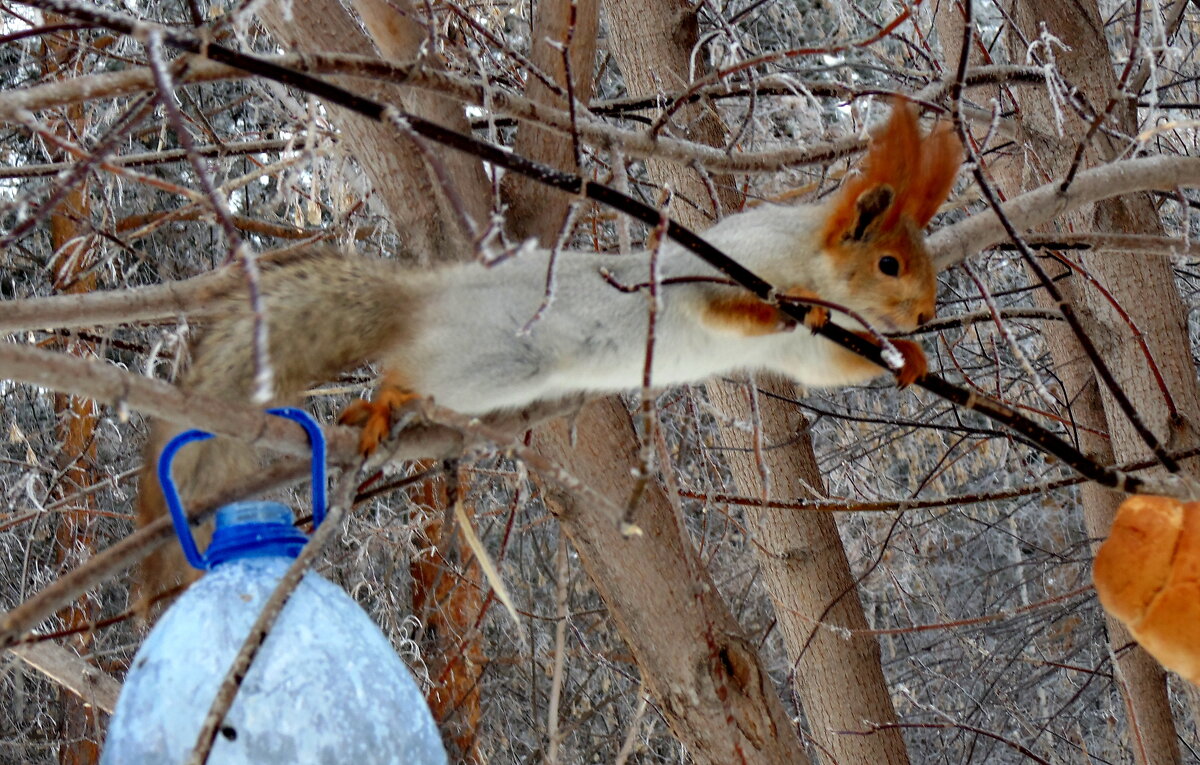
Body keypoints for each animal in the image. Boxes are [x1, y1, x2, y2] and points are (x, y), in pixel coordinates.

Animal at [136, 100, 960, 604]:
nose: (925, 313)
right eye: (889, 263)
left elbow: (832, 364)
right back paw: (386, 401)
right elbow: (731, 311)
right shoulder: (719, 267)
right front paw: (805, 307)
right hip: (489, 366)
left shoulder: (806, 357)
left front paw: (908, 360)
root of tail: (431, 301)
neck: (804, 261)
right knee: (408, 372)